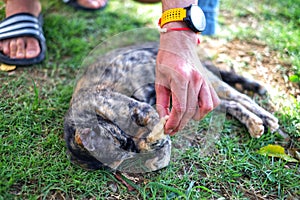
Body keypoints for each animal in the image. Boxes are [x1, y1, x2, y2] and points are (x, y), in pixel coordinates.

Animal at [63, 41, 278, 172]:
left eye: (119, 139)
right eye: (124, 155)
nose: (134, 145)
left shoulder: (143, 108)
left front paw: (158, 148)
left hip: (210, 84)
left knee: (241, 97)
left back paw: (266, 119)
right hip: (196, 101)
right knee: (232, 105)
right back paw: (255, 123)